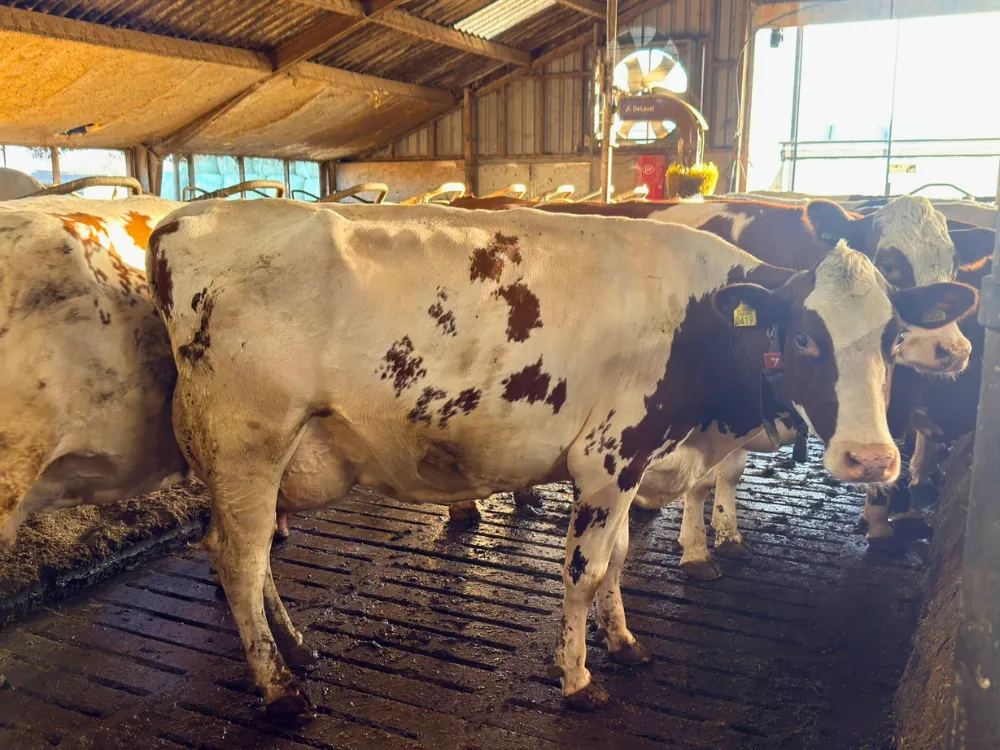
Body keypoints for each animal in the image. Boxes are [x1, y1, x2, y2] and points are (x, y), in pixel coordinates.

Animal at [147, 198, 976, 718]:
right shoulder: (607, 458)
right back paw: (277, 688)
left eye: (892, 337)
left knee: (254, 554)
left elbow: (616, 564)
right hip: (248, 440)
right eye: (806, 338)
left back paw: (294, 649)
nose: (871, 459)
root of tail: (191, 215)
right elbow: (582, 571)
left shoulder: (637, 464)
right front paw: (577, 677)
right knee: (238, 557)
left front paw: (624, 641)